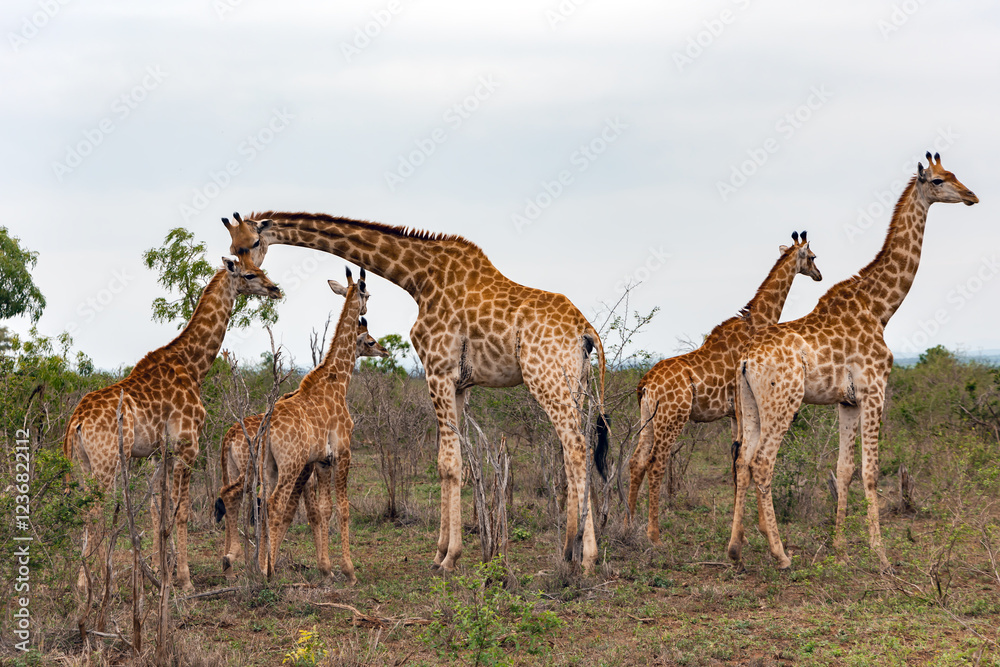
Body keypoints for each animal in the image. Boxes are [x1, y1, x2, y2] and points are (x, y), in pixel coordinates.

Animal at [64, 257, 280, 607]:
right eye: (249, 275)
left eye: (261, 269)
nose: (275, 289)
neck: (193, 365)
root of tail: (77, 422)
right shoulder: (187, 445)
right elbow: (181, 512)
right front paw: (185, 580)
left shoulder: (158, 453)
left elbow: (158, 510)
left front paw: (159, 572)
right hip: (107, 462)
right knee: (95, 511)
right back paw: (91, 587)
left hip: (81, 463)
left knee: (85, 512)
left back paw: (84, 582)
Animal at [214, 315, 388, 576]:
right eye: (370, 340)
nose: (384, 350)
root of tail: (229, 435)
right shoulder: (317, 466)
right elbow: (312, 511)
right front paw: (329, 567)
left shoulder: (313, 467)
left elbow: (312, 511)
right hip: (259, 470)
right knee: (255, 501)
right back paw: (242, 561)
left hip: (241, 470)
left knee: (235, 497)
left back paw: (233, 560)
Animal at [233, 268, 370, 583]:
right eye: (367, 293)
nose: (365, 311)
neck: (338, 380)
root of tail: (265, 430)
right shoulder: (343, 453)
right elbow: (343, 509)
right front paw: (349, 570)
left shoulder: (322, 460)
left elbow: (323, 509)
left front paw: (327, 568)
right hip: (290, 464)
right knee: (273, 505)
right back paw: (268, 570)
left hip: (268, 467)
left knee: (261, 505)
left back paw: (260, 567)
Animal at [628, 231, 822, 543]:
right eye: (813, 256)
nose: (819, 275)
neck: (759, 321)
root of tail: (645, 384)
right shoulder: (744, 408)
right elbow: (745, 459)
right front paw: (753, 528)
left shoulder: (733, 413)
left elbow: (735, 461)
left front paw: (738, 525)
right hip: (672, 417)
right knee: (656, 463)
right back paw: (654, 534)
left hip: (648, 417)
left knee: (636, 461)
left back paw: (628, 523)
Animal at [727, 153, 978, 571]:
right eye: (939, 181)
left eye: (955, 174)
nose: (972, 196)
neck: (880, 307)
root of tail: (746, 359)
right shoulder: (875, 390)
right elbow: (870, 471)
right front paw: (880, 553)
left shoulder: (846, 401)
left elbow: (844, 470)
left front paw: (840, 547)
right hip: (783, 402)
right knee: (762, 463)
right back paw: (780, 554)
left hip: (748, 404)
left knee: (743, 462)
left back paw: (735, 549)